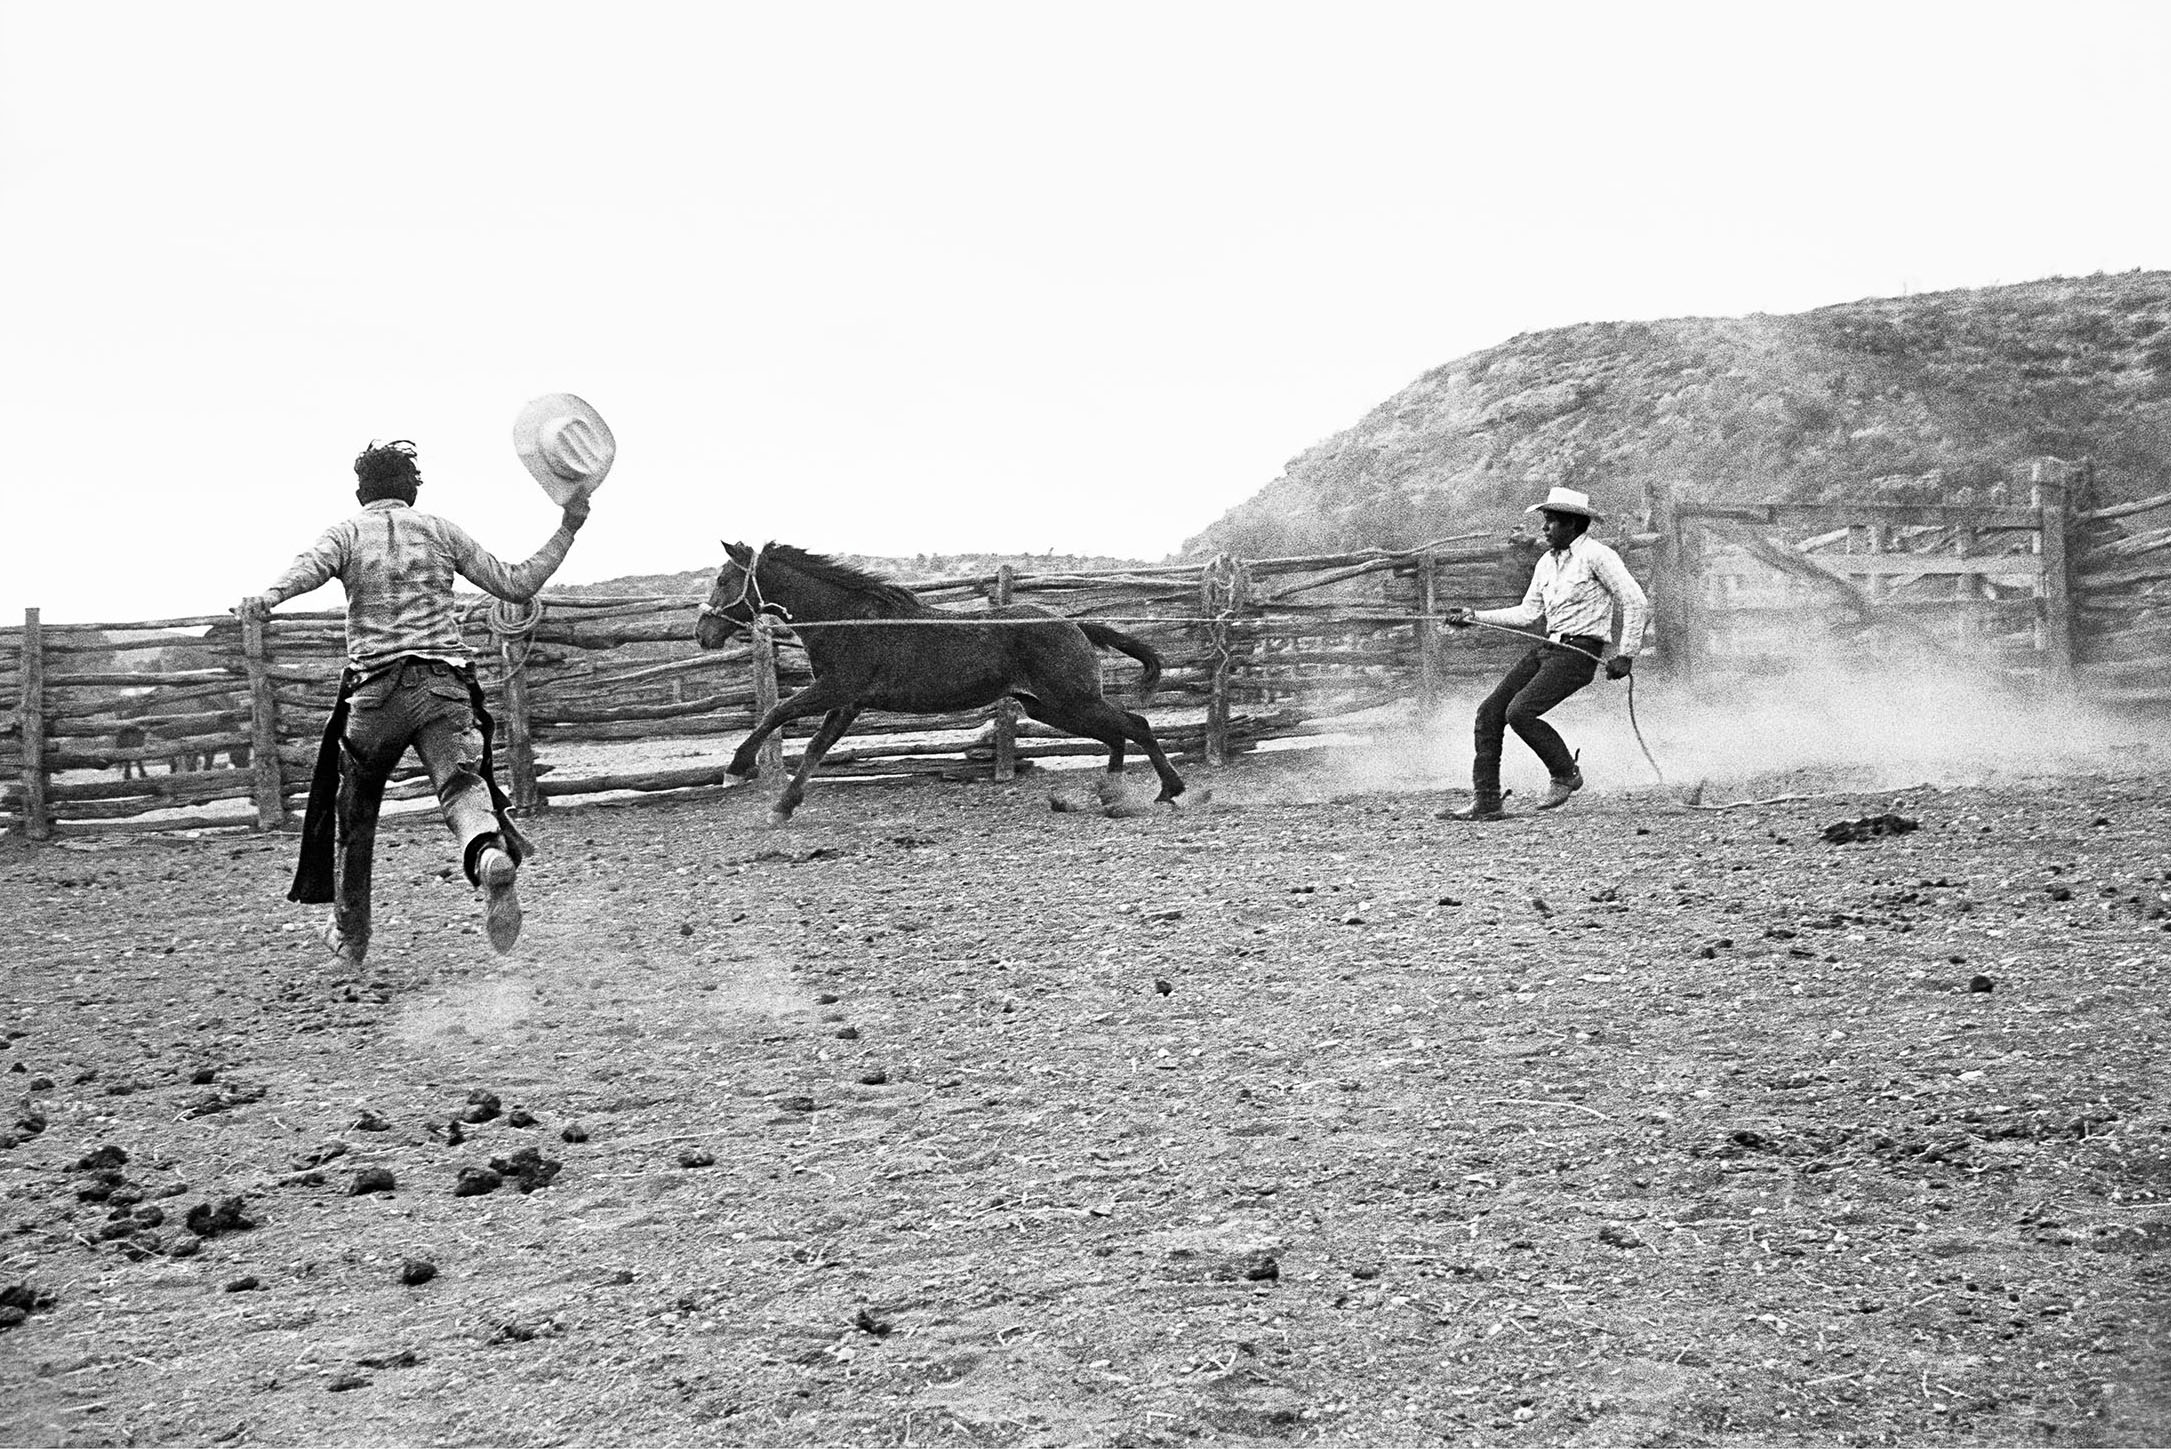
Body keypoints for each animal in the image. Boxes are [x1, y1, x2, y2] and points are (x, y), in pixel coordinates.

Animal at [694, 540, 1189, 825]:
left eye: (723, 578)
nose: (703, 633)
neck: (847, 620)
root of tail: (1075, 625)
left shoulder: (836, 689)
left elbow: (777, 713)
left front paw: (737, 768)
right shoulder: (847, 702)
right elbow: (816, 747)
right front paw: (783, 806)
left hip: (1072, 700)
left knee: (1135, 725)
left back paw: (1168, 790)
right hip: (1048, 707)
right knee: (1118, 733)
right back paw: (1112, 795)